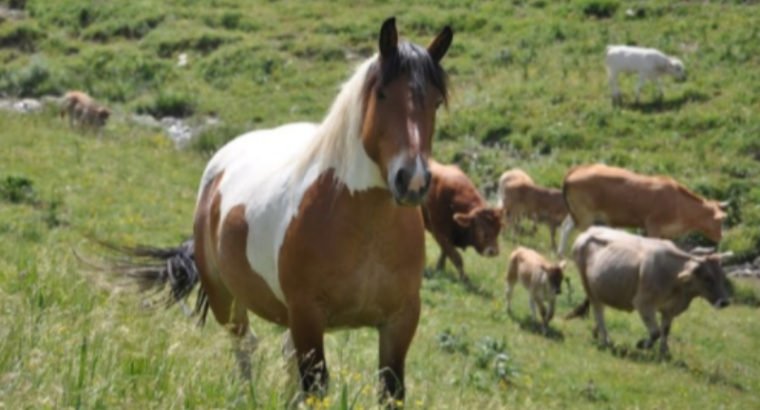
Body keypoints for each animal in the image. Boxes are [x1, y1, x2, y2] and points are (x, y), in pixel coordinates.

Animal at [104, 16, 454, 406]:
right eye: (382, 93)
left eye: (436, 102)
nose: (413, 180)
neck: (366, 233)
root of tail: (221, 162)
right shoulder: (307, 316)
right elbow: (314, 385)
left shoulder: (399, 322)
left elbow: (389, 392)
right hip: (227, 299)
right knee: (245, 345)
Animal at [560, 163, 732, 253]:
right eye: (720, 221)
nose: (722, 237)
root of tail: (578, 169)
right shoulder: (653, 225)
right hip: (585, 215)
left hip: (577, 212)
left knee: (565, 226)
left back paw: (561, 254)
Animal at [568, 226, 732, 354]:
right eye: (707, 278)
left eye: (722, 276)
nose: (724, 302)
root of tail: (588, 231)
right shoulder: (643, 303)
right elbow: (655, 332)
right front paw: (642, 344)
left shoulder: (669, 309)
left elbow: (665, 330)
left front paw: (664, 353)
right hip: (588, 286)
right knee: (598, 311)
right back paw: (606, 340)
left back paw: (597, 333)